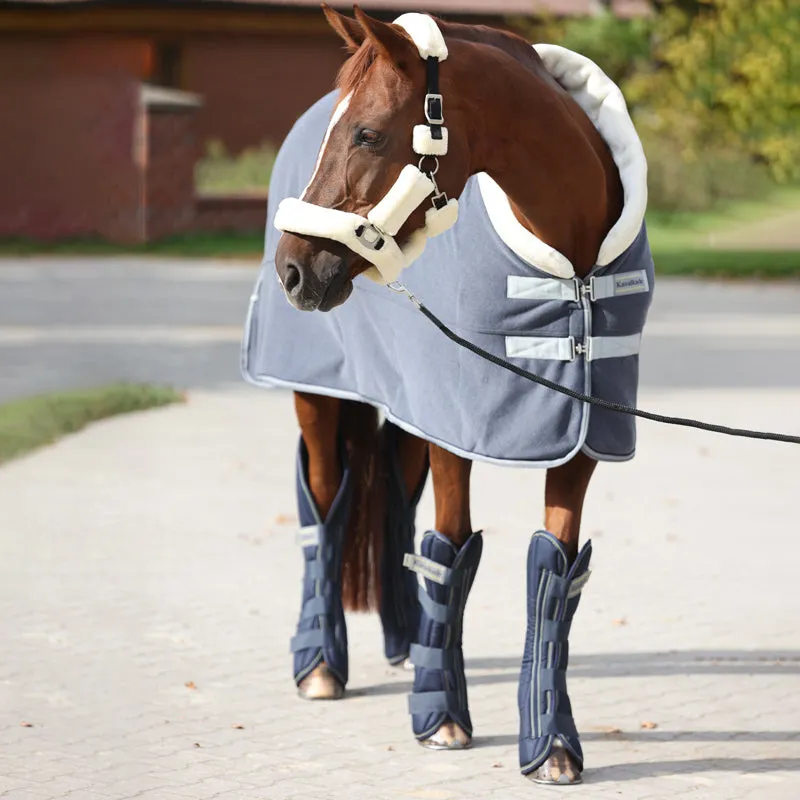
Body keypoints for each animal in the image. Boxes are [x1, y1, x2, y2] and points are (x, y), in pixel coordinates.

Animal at [241, 3, 652, 784]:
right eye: (348, 130)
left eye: (368, 132)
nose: (293, 270)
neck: (574, 269)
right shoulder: (458, 428)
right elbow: (451, 548)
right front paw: (441, 717)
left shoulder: (582, 433)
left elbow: (554, 569)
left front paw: (552, 743)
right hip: (318, 396)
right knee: (324, 500)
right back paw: (320, 663)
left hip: (411, 405)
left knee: (393, 500)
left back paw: (406, 641)